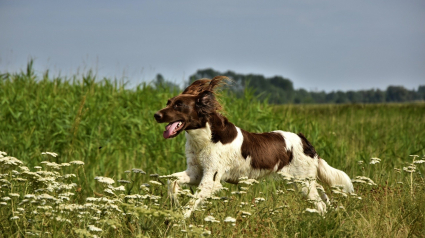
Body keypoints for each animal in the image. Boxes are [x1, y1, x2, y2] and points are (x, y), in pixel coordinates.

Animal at [154, 76, 352, 218]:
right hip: (304, 181)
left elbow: (189, 204)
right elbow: (171, 182)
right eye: (168, 102)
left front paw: (177, 220)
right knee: (324, 197)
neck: (205, 137)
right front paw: (174, 202)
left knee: (320, 204)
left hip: (303, 183)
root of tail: (305, 141)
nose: (156, 115)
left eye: (179, 105)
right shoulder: (195, 172)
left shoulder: (211, 179)